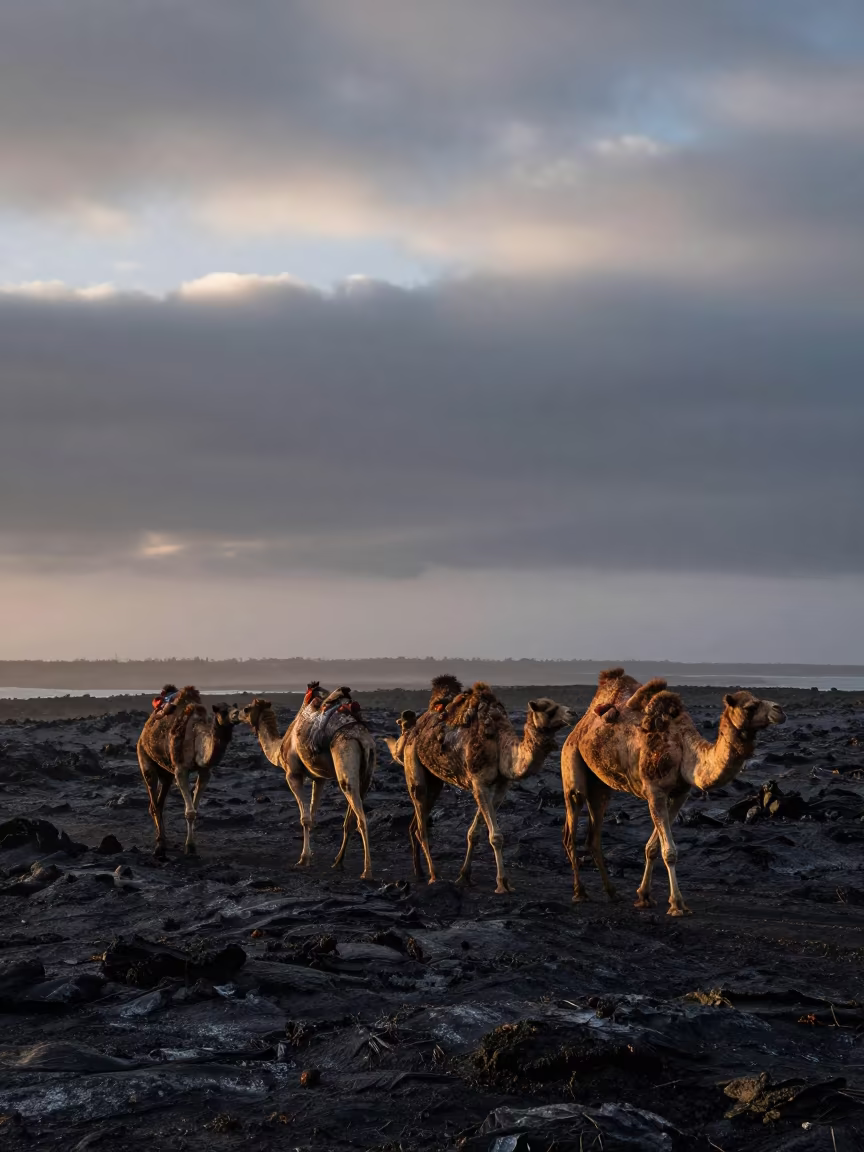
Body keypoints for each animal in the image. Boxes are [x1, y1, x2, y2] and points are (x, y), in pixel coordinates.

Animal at [137, 685, 241, 857]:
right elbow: (190, 812)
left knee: (160, 801)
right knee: (153, 801)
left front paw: (191, 845)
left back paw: (163, 839)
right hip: (144, 757)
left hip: (166, 772)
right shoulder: (180, 769)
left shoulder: (205, 771)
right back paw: (160, 844)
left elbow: (195, 809)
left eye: (235, 707)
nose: (237, 715)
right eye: (222, 711)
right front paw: (190, 847)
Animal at [236, 683, 377, 878]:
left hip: (345, 757)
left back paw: (366, 871)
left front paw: (303, 859)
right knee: (351, 819)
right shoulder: (319, 779)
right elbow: (313, 814)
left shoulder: (293, 774)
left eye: (247, 709)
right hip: (366, 775)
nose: (235, 714)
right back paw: (338, 862)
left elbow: (305, 818)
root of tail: (363, 739)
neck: (279, 748)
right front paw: (311, 855)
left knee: (361, 819)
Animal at [387, 677, 575, 894]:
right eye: (548, 709)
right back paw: (434, 875)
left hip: (435, 780)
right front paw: (502, 883)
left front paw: (464, 876)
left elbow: (474, 833)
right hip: (414, 767)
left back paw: (419, 872)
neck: (501, 746)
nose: (572, 713)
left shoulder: (501, 787)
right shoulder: (479, 783)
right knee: (420, 825)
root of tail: (411, 730)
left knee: (416, 822)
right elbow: (495, 836)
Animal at [561, 667, 786, 916]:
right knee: (571, 829)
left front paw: (644, 896)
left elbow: (652, 847)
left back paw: (612, 893)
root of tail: (579, 727)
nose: (780, 710)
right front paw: (677, 904)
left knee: (593, 836)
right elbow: (669, 851)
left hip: (600, 785)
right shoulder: (655, 791)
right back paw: (580, 892)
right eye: (750, 707)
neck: (685, 749)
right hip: (571, 761)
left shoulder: (680, 793)